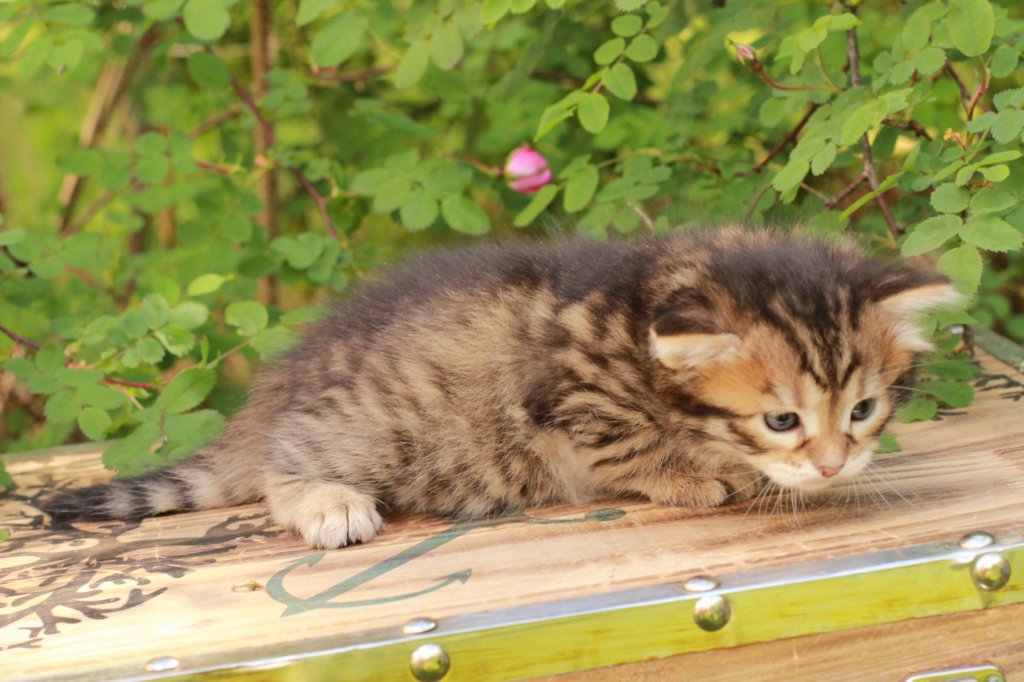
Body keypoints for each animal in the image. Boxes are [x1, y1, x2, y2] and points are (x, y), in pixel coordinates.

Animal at [41, 228, 960, 548]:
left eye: (863, 410)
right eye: (780, 420)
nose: (834, 464)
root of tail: (276, 390)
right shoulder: (565, 395)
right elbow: (627, 444)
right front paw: (692, 475)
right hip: (369, 430)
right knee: (279, 469)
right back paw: (330, 502)